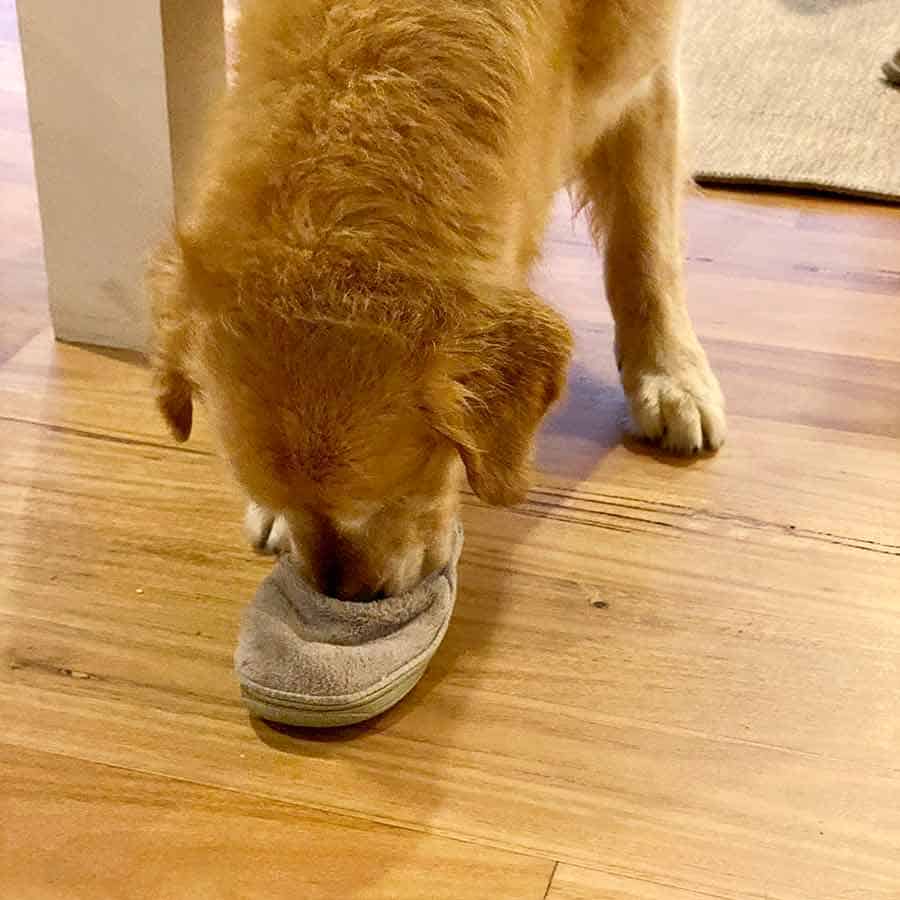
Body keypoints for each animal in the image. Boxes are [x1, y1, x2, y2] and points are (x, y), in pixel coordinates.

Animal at [148, 1, 724, 604]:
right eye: (282, 497)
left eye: (405, 479)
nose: (350, 599)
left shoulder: (646, 76)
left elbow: (645, 248)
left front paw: (671, 376)